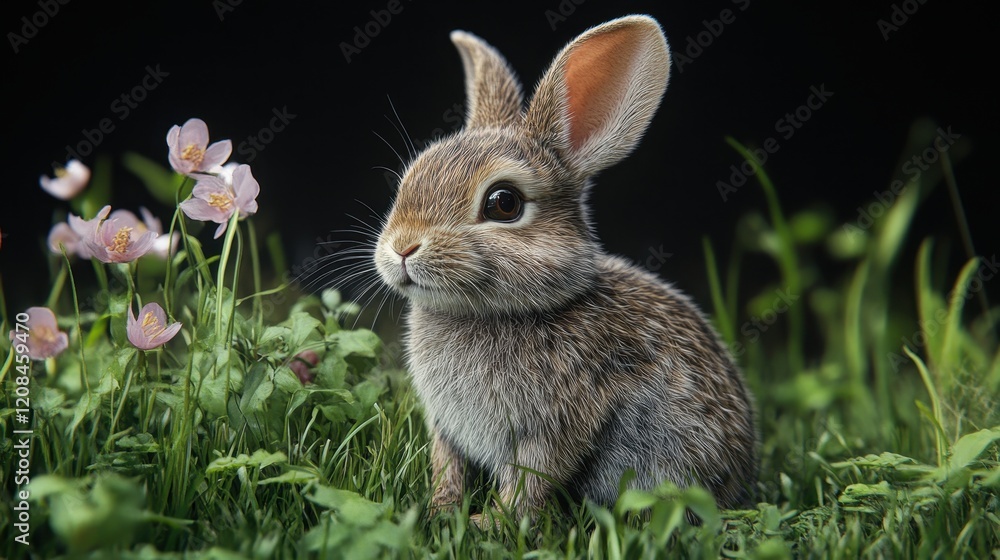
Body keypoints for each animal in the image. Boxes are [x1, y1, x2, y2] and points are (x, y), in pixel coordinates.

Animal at [372, 14, 758, 523]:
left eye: (504, 203)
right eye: (412, 175)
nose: (402, 248)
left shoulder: (558, 422)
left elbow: (531, 481)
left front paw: (487, 523)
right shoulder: (446, 426)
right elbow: (447, 463)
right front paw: (441, 508)